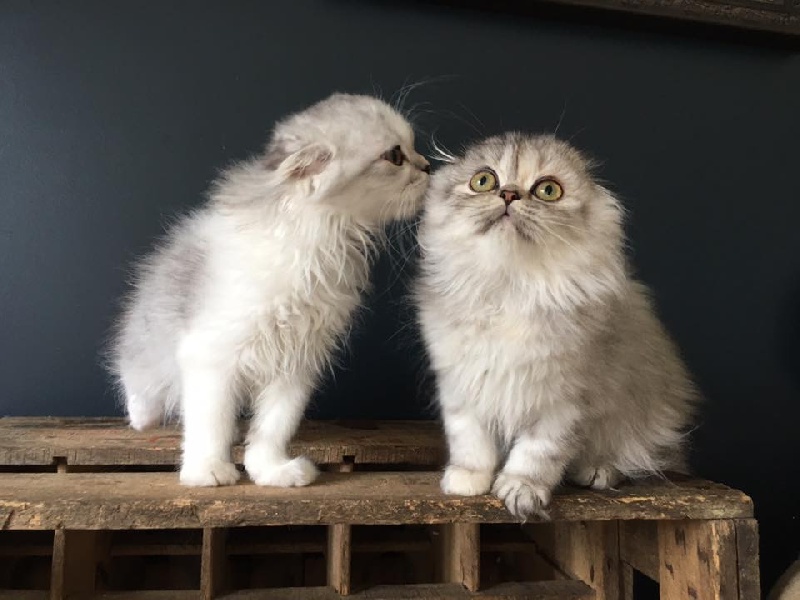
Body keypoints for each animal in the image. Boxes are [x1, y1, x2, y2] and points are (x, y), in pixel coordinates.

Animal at [112, 92, 432, 488]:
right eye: (395, 156)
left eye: (413, 147)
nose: (429, 166)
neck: (319, 241)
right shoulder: (211, 356)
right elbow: (209, 422)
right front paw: (207, 470)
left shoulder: (297, 363)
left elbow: (274, 427)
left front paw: (271, 470)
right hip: (150, 356)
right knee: (142, 390)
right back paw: (144, 415)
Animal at [416, 134, 696, 516]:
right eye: (483, 181)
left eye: (548, 190)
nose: (509, 194)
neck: (511, 289)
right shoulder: (462, 385)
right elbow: (471, 441)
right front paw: (467, 480)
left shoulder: (565, 399)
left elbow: (537, 452)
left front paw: (520, 490)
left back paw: (598, 471)